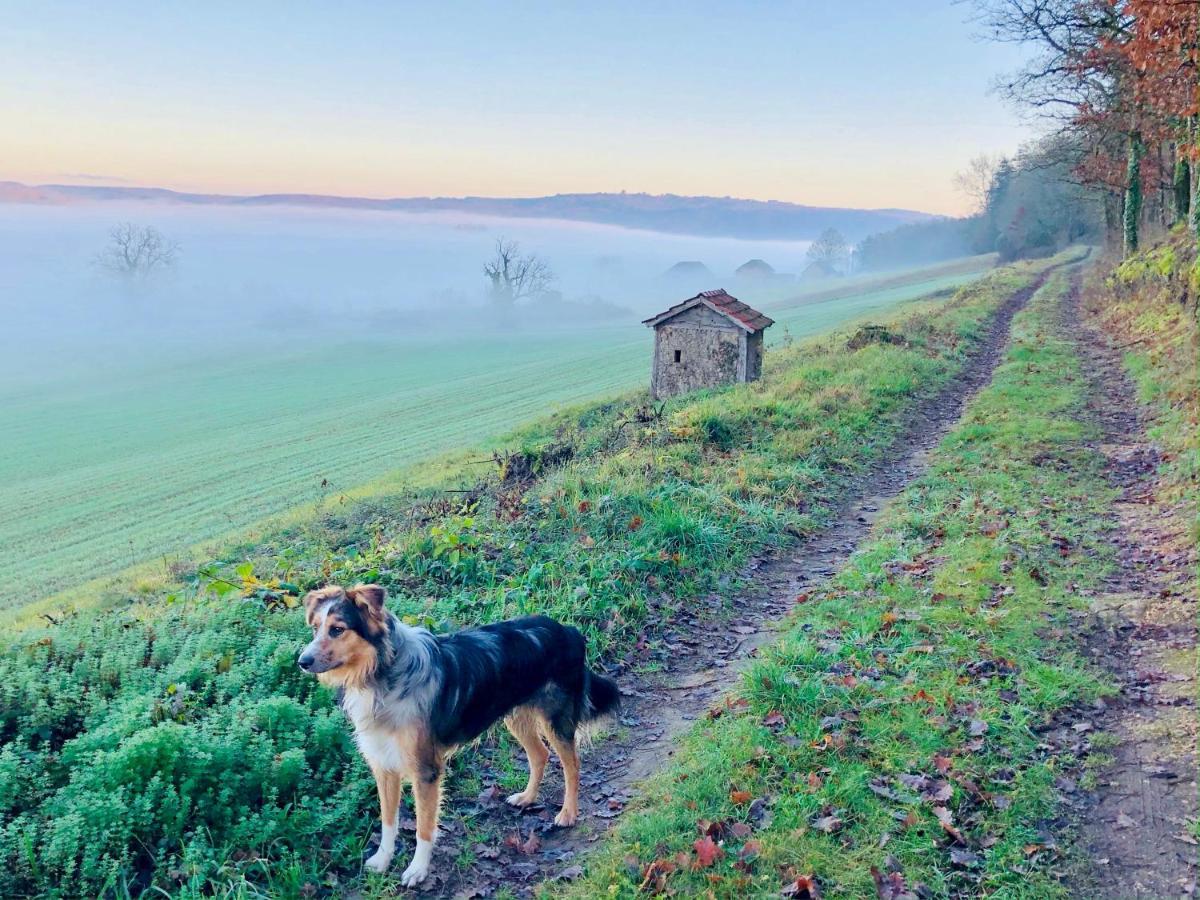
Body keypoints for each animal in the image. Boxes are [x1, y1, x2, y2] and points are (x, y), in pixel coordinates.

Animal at [297, 585, 619, 888]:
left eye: (337, 629)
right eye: (315, 628)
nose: (302, 661)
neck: (382, 673)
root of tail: (568, 630)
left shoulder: (426, 770)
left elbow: (424, 827)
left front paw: (417, 870)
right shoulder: (383, 764)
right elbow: (388, 819)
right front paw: (382, 859)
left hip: (555, 720)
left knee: (572, 764)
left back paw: (568, 813)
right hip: (515, 717)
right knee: (540, 754)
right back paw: (527, 798)